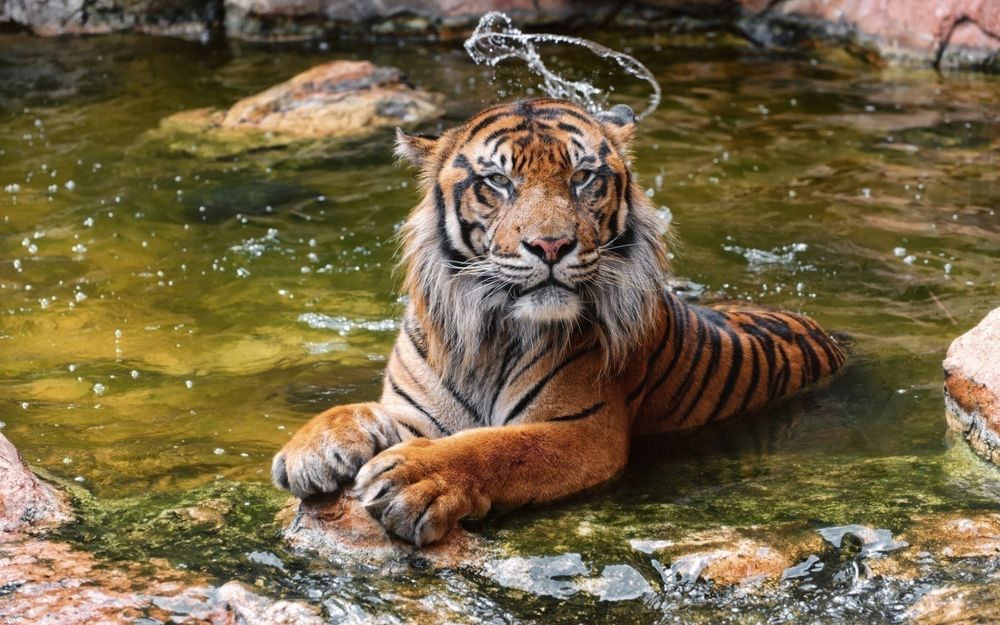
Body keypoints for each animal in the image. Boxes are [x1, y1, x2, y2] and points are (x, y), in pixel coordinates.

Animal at [272, 98, 846, 546]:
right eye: (499, 181)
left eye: (582, 177)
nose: (551, 245)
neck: (490, 334)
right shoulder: (411, 411)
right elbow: (356, 411)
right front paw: (312, 449)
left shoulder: (584, 430)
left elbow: (497, 447)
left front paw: (412, 478)